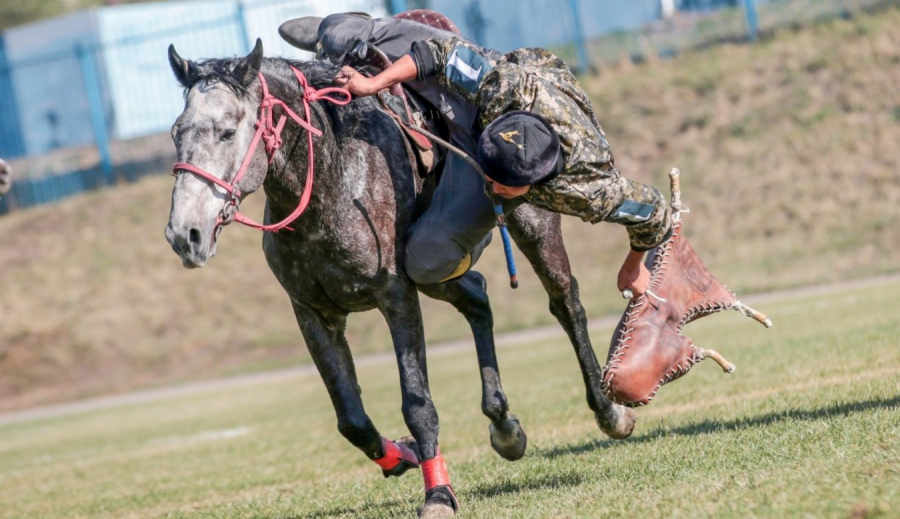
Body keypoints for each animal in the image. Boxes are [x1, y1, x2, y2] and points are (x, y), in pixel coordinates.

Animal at [165, 39, 636, 516]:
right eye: (176, 133)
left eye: (227, 132)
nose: (185, 234)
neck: (335, 176)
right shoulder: (312, 314)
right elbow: (351, 419)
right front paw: (403, 455)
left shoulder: (396, 298)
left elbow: (418, 404)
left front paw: (439, 493)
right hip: (436, 268)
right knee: (478, 296)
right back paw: (504, 425)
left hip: (533, 225)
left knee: (566, 303)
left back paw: (608, 410)